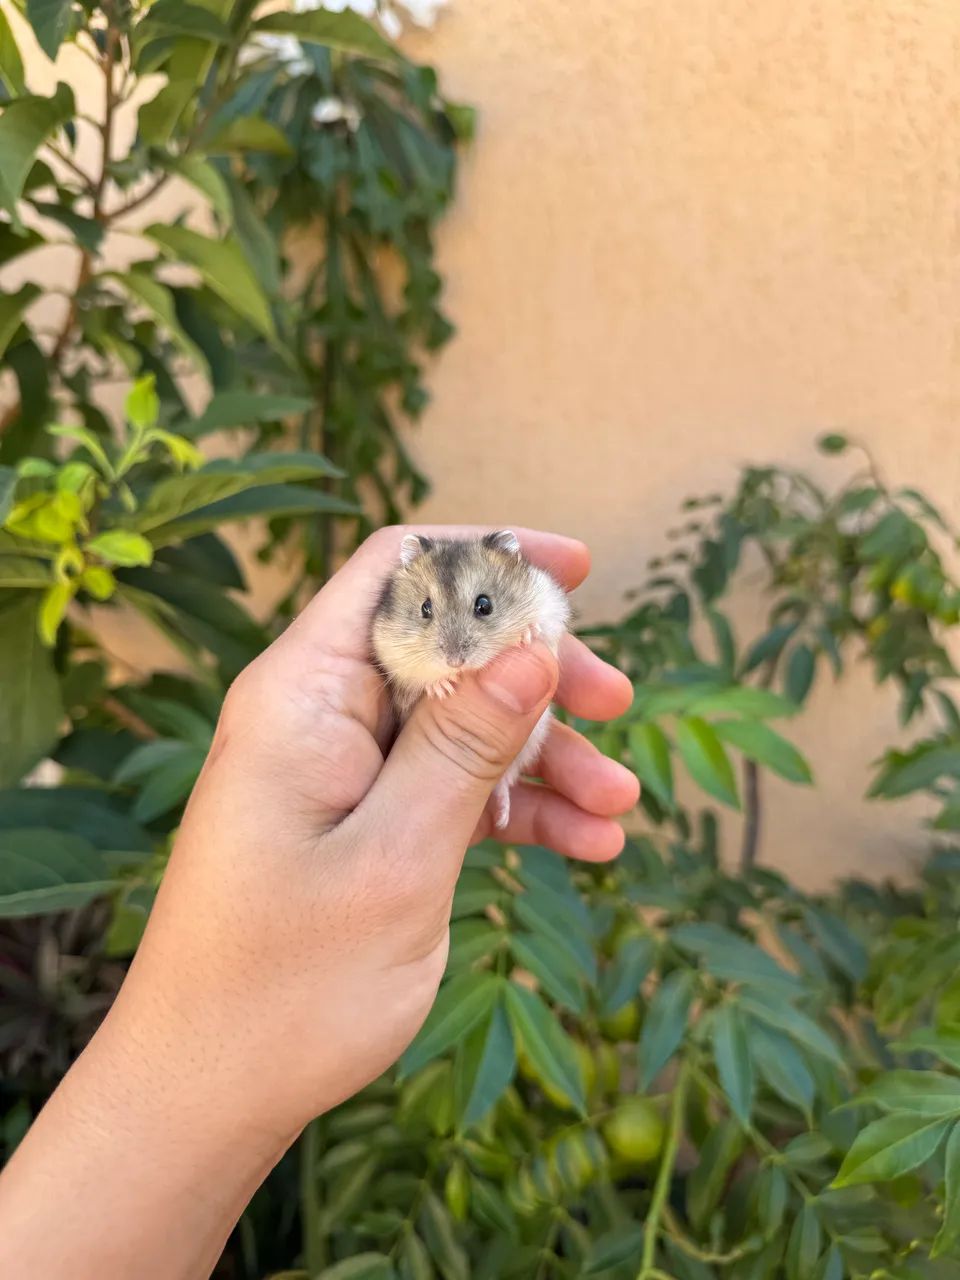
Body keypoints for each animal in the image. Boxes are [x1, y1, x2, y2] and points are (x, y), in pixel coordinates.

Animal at [371, 530, 570, 828]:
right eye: (425, 608)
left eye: (484, 605)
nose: (455, 663)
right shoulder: (394, 662)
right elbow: (416, 685)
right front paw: (443, 687)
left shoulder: (550, 607)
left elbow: (544, 630)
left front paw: (526, 635)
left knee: (505, 780)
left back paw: (502, 817)